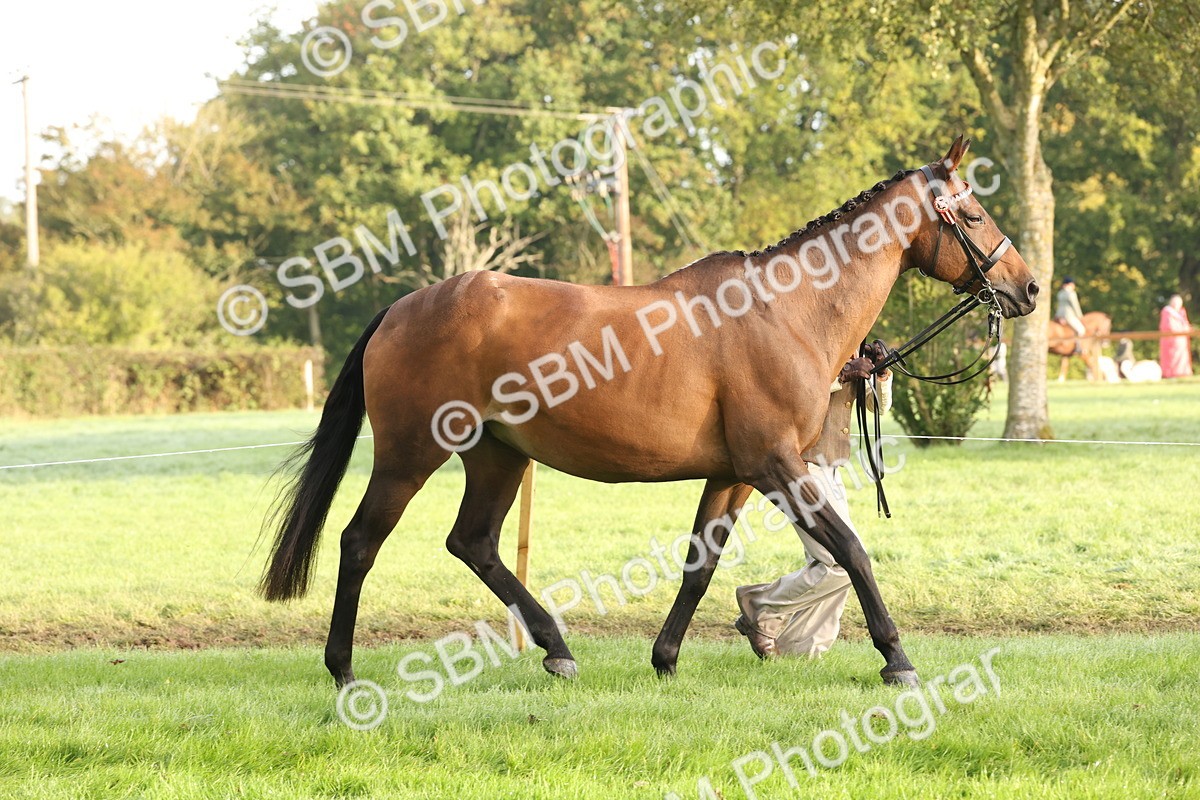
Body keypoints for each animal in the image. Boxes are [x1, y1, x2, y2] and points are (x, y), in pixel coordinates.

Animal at [260, 136, 1038, 690]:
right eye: (973, 214)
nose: (1027, 287)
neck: (786, 308)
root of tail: (404, 306)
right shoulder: (777, 465)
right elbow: (850, 549)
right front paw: (896, 658)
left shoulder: (734, 474)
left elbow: (701, 564)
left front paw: (665, 657)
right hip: (409, 456)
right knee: (360, 543)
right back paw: (343, 670)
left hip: (497, 455)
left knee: (473, 543)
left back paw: (557, 650)